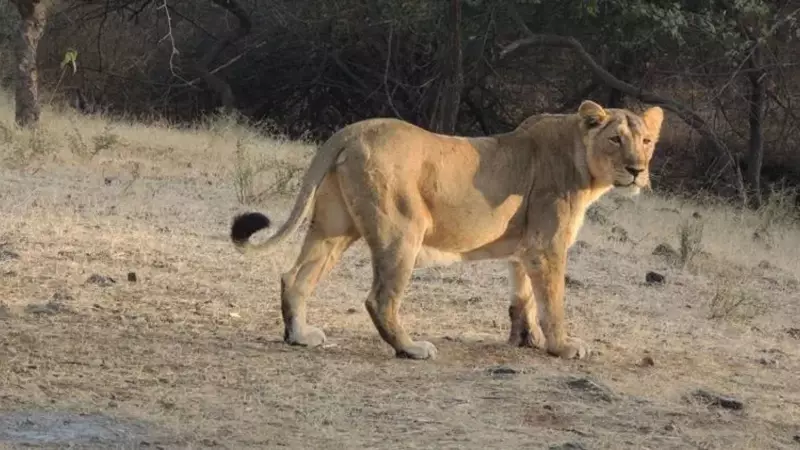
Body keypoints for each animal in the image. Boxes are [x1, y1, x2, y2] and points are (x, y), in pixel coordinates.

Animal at [229, 100, 664, 361]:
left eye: (646, 141)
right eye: (615, 139)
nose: (637, 170)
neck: (582, 163)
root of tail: (354, 130)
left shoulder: (525, 247)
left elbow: (523, 297)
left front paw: (525, 340)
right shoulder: (547, 245)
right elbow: (552, 302)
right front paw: (562, 346)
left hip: (333, 227)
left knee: (294, 277)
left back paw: (300, 335)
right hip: (403, 230)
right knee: (379, 299)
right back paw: (411, 348)